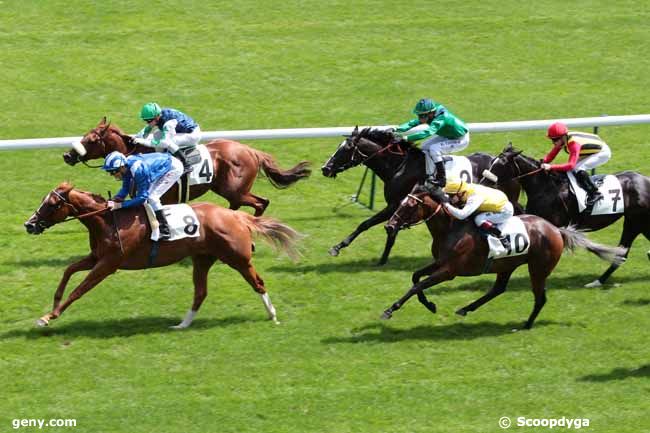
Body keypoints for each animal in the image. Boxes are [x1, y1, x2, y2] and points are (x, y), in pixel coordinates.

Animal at [22, 181, 302, 328]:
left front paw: (48, 317)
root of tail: (236, 216)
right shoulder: (97, 257)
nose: (29, 224)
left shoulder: (108, 264)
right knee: (200, 292)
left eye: (52, 204)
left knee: (258, 283)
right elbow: (68, 270)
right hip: (202, 259)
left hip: (237, 259)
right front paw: (53, 305)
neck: (107, 220)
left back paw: (272, 315)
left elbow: (79, 290)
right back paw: (182, 325)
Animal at [63, 117, 312, 215]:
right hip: (229, 190)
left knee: (260, 203)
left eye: (91, 140)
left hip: (235, 190)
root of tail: (250, 151)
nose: (67, 155)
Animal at [320, 125, 520, 264]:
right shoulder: (399, 205)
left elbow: (367, 224)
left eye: (346, 149)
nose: (325, 168)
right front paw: (381, 257)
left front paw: (339, 248)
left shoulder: (395, 204)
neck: (400, 166)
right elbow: (377, 227)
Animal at [380, 184, 624, 330]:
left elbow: (417, 285)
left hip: (538, 269)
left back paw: (526, 325)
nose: (389, 225)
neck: (451, 228)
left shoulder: (450, 271)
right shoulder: (440, 262)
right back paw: (466, 309)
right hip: (507, 264)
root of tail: (556, 229)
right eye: (400, 202)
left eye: (410, 205)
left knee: (540, 298)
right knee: (498, 289)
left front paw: (390, 310)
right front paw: (429, 304)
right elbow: (415, 277)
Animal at [486, 143, 648, 286]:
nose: (484, 181)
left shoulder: (551, 225)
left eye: (500, 164)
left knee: (622, 253)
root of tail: (646, 180)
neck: (545, 188)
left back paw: (597, 281)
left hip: (636, 222)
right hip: (636, 223)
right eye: (492, 162)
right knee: (623, 253)